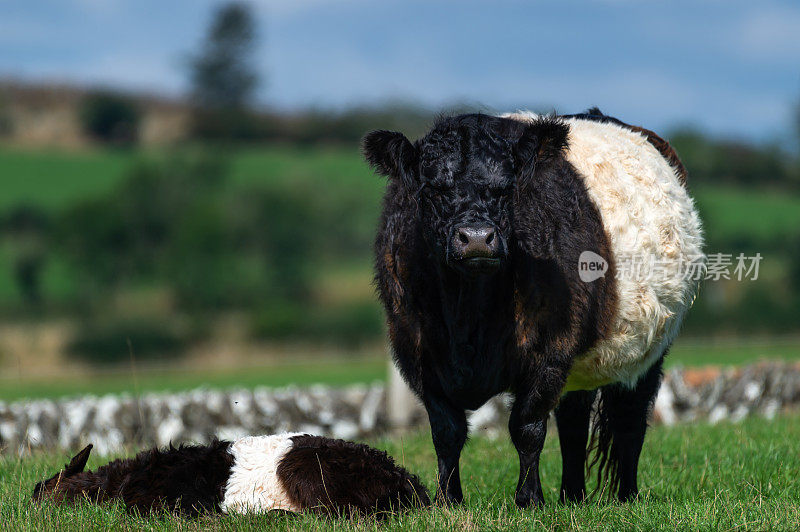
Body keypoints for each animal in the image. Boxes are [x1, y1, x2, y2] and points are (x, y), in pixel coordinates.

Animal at [366, 107, 704, 508]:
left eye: (507, 188)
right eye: (432, 188)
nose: (477, 239)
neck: (468, 318)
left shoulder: (549, 352)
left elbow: (526, 427)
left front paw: (529, 499)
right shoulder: (419, 356)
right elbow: (447, 432)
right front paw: (448, 500)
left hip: (649, 351)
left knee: (629, 420)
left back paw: (627, 496)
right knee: (574, 422)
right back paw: (572, 496)